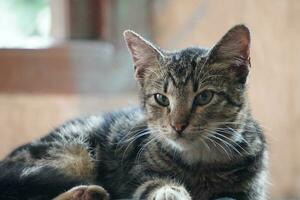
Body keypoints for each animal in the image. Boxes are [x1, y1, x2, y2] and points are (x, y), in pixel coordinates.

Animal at [0, 24, 268, 199]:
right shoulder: (138, 177)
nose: (178, 125)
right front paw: (170, 193)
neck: (200, 164)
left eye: (204, 97)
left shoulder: (251, 190)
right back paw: (84, 192)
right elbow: (154, 185)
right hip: (70, 155)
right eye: (161, 98)